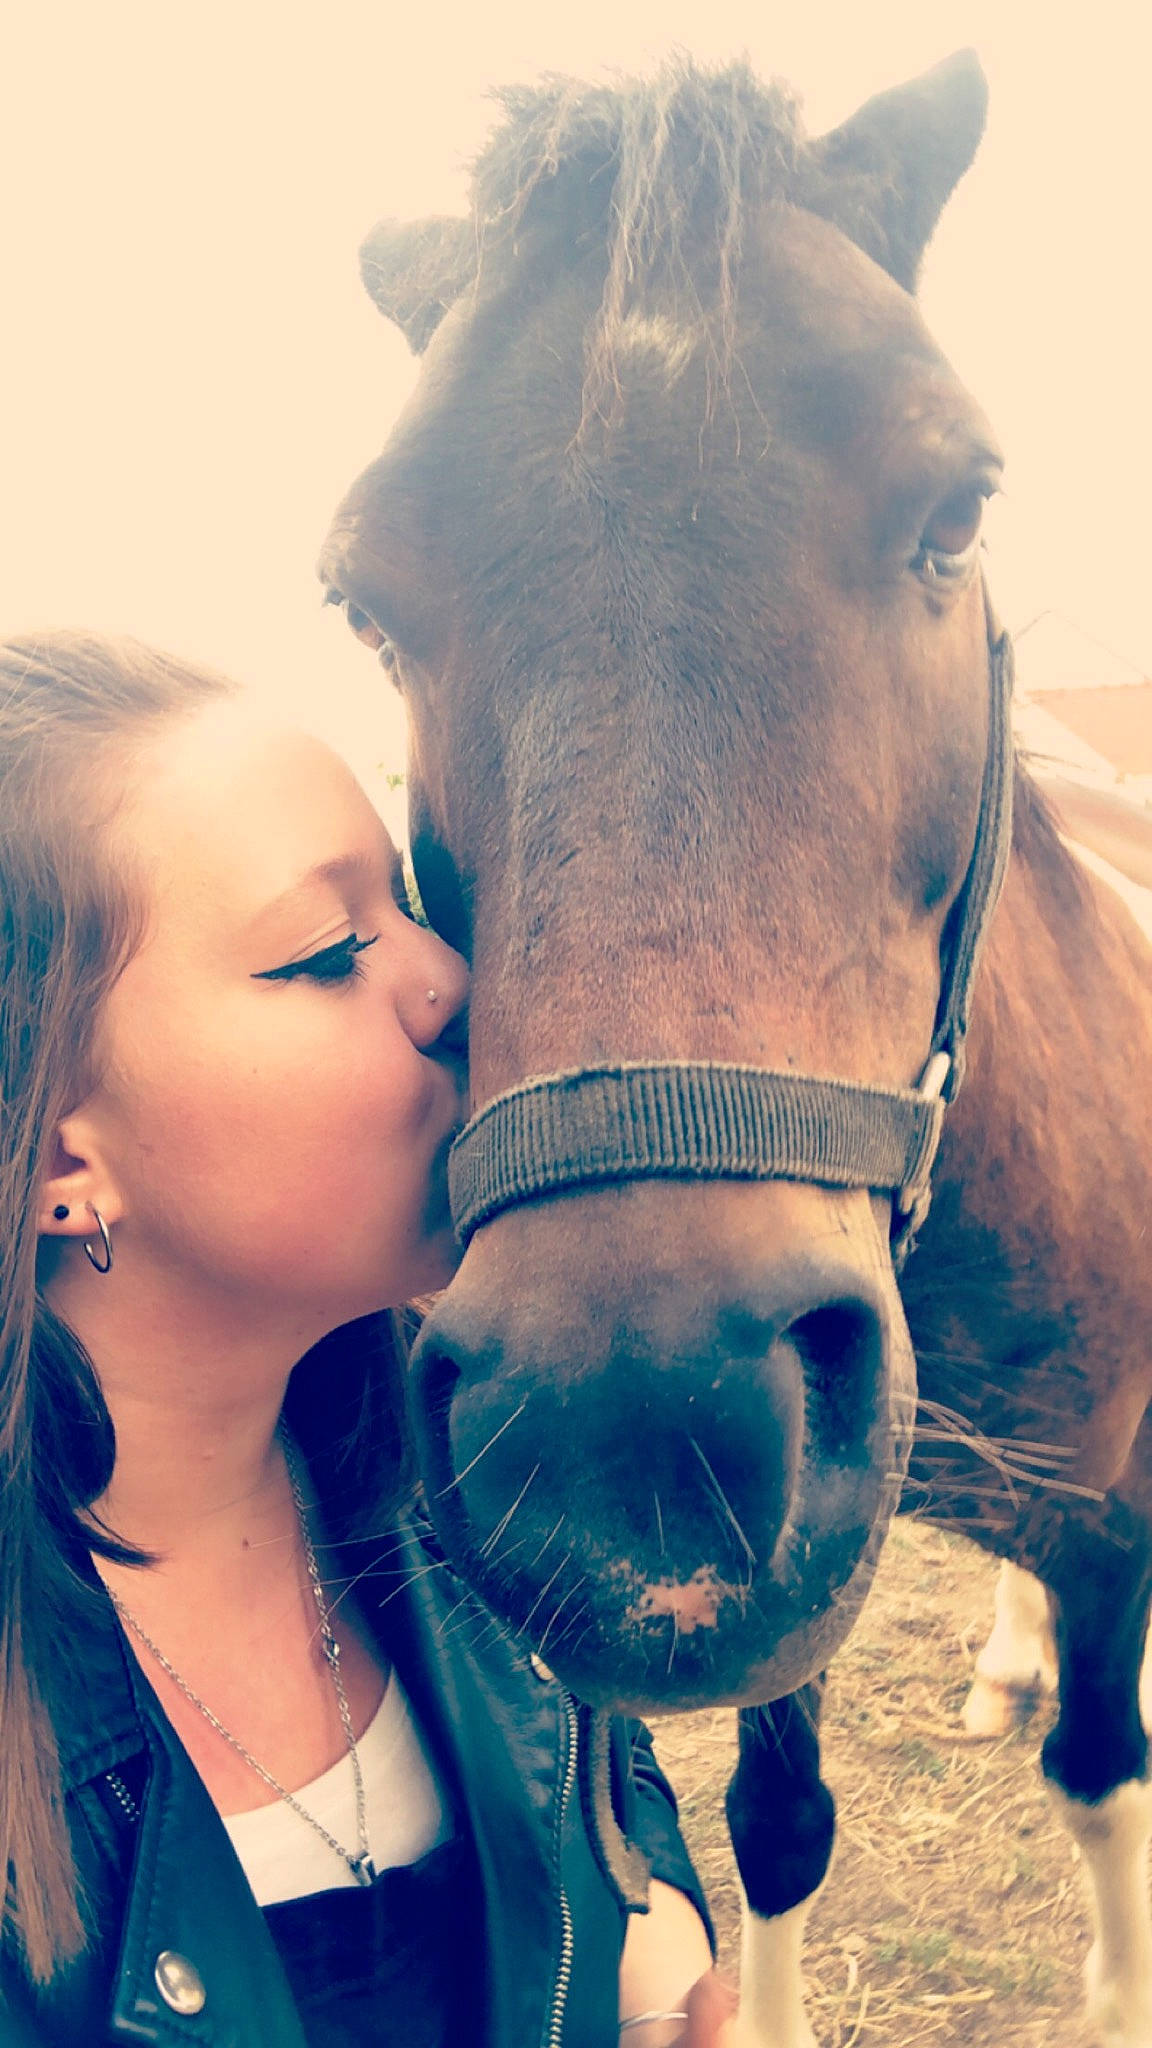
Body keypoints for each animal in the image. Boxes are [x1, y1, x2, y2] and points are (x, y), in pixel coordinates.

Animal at [320, 53, 1152, 2046]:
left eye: (954, 507)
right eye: (365, 603)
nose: (625, 1427)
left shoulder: (1114, 1520)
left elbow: (1104, 1771)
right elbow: (777, 1828)